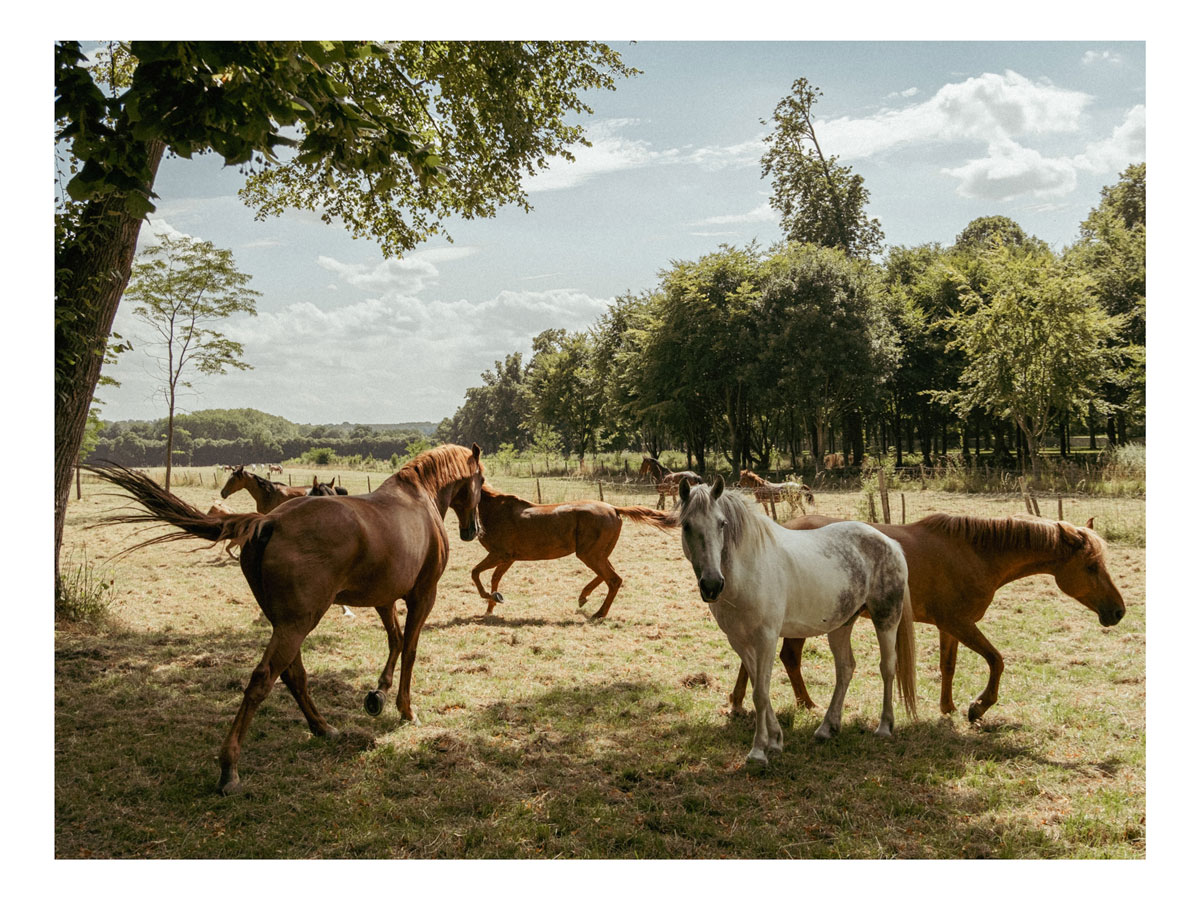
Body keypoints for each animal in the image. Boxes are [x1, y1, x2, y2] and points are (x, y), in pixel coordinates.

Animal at [85, 443, 485, 795]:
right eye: (480, 481)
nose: (474, 530)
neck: (418, 499)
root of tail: (269, 521)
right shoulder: (422, 596)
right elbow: (411, 650)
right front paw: (405, 709)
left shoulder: (383, 599)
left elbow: (396, 642)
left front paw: (378, 695)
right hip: (297, 623)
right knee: (264, 679)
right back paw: (230, 769)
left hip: (289, 623)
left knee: (294, 676)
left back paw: (323, 728)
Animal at [470, 484, 675, 619]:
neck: (495, 510)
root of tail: (613, 508)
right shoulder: (508, 558)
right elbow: (494, 578)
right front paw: (491, 606)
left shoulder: (500, 555)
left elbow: (475, 573)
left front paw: (490, 598)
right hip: (597, 554)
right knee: (608, 574)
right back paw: (584, 597)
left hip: (590, 554)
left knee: (614, 579)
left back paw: (599, 613)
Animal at [676, 476, 916, 765]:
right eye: (686, 525)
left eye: (722, 523)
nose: (712, 585)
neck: (748, 571)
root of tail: (890, 543)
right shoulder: (739, 641)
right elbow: (759, 687)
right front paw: (775, 740)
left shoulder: (766, 638)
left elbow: (760, 693)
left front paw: (758, 751)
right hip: (842, 624)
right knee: (845, 668)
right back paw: (827, 728)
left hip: (886, 619)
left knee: (887, 667)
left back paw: (884, 726)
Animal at [727, 513, 1126, 723]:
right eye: (1091, 567)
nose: (1118, 611)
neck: (975, 554)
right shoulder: (959, 623)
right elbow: (997, 660)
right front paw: (979, 706)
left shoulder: (951, 627)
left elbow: (948, 666)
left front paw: (947, 708)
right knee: (783, 657)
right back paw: (802, 705)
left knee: (765, 659)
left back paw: (749, 702)